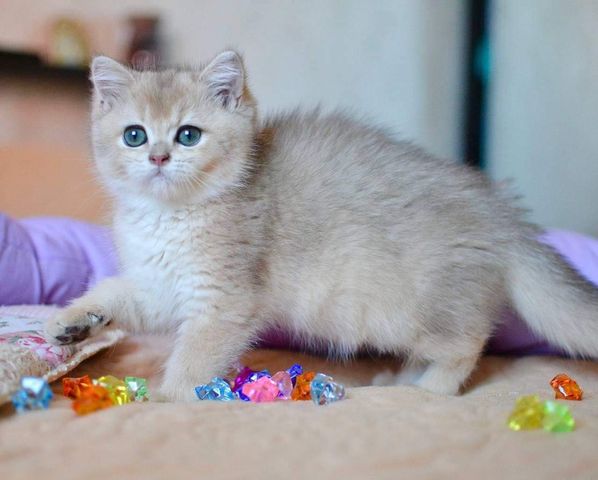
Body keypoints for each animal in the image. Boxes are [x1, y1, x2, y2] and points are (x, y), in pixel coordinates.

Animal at [48, 49, 598, 402]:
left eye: (188, 135)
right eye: (135, 136)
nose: (159, 157)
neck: (170, 215)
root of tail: (504, 216)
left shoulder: (223, 301)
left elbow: (194, 360)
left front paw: (168, 399)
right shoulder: (159, 286)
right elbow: (115, 293)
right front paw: (72, 321)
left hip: (411, 312)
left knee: (467, 343)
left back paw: (427, 392)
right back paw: (401, 382)